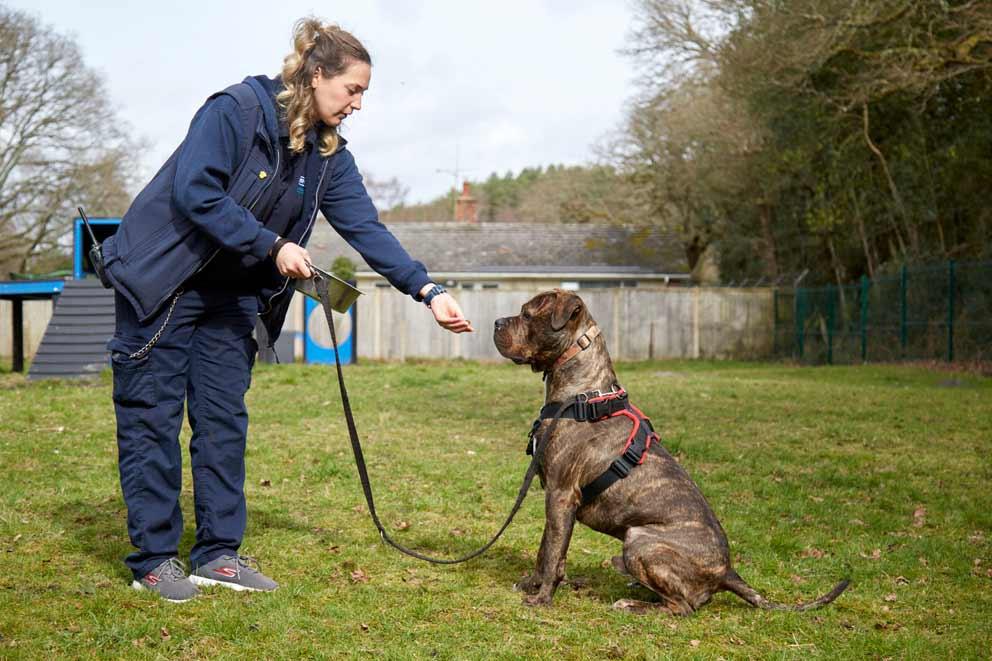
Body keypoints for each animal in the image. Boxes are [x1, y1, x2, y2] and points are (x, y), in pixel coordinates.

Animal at [492, 290, 848, 612]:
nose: (496, 322)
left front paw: (542, 598)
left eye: (526, 315)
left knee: (683, 607)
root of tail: (727, 571)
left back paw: (633, 604)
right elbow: (544, 550)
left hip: (639, 540)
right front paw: (531, 584)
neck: (583, 392)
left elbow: (553, 553)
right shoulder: (554, 497)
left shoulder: (561, 495)